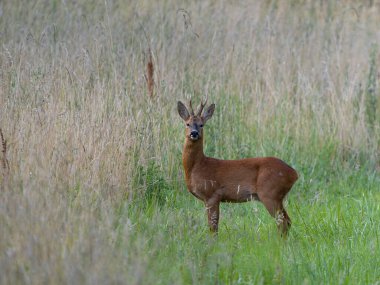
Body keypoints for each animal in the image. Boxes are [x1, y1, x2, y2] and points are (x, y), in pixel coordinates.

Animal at [177, 98, 298, 234]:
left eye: (201, 124)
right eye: (187, 124)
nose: (194, 133)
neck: (198, 166)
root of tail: (294, 173)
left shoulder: (212, 195)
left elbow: (213, 227)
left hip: (270, 193)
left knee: (282, 222)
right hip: (276, 196)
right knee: (287, 221)